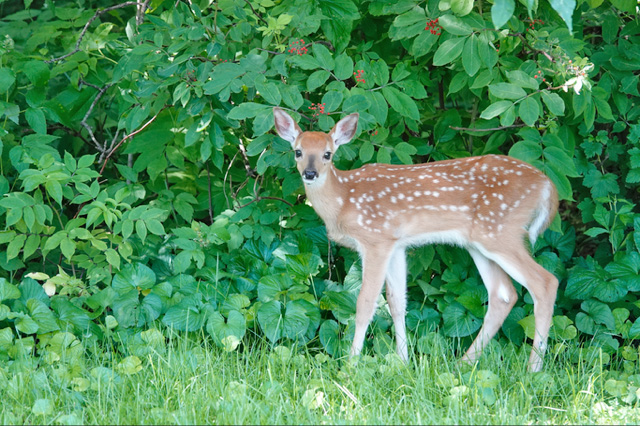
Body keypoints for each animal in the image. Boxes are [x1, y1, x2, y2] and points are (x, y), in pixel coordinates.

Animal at [273, 107, 559, 372]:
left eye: (328, 154)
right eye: (298, 151)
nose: (310, 174)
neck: (344, 200)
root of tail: (547, 186)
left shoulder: (376, 239)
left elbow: (365, 302)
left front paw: (351, 366)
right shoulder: (396, 244)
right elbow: (397, 301)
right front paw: (403, 362)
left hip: (501, 231)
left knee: (545, 282)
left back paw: (533, 368)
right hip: (479, 242)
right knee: (503, 294)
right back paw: (463, 363)